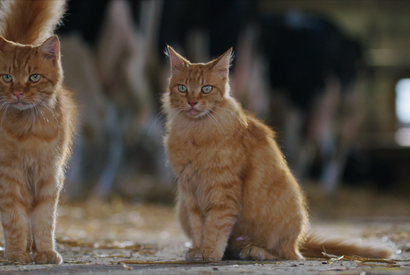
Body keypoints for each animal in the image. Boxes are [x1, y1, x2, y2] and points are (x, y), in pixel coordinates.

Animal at [0, 0, 76, 264]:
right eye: (6, 77)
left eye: (34, 77)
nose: (18, 93)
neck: (29, 132)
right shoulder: (10, 178)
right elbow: (15, 219)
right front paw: (15, 253)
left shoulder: (48, 176)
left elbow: (44, 221)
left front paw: (44, 252)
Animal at [162, 47, 392, 264]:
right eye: (183, 88)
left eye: (206, 89)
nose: (192, 102)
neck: (194, 132)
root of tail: (299, 243)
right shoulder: (190, 194)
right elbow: (198, 228)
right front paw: (199, 250)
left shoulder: (223, 191)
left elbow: (215, 226)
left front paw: (210, 252)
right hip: (182, 207)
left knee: (286, 254)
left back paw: (254, 252)